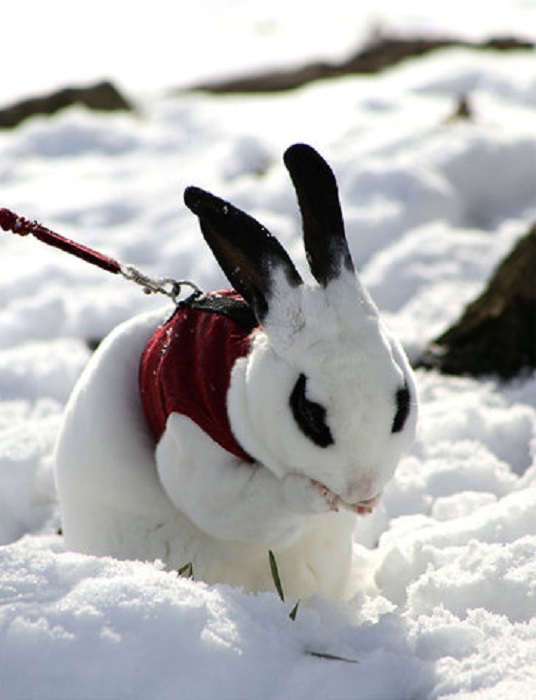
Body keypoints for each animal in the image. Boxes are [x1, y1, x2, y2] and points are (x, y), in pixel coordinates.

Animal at [54, 144, 416, 600]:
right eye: (308, 412)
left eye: (402, 402)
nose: (364, 492)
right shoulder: (194, 447)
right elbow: (241, 504)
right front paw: (315, 495)